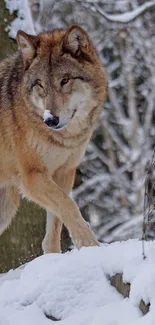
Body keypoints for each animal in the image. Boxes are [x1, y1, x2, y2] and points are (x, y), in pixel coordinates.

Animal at [0, 26, 106, 253]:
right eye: (40, 85)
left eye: (65, 80)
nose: (50, 119)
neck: (63, 139)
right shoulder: (32, 177)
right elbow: (69, 206)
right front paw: (90, 245)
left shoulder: (64, 172)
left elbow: (57, 221)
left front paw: (53, 255)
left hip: (6, 206)